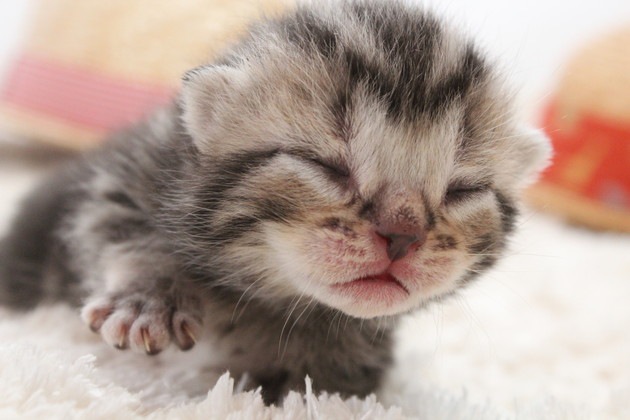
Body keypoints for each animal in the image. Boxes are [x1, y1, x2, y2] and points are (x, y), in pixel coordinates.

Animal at [0, 0, 552, 406]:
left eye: (463, 190)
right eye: (327, 166)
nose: (402, 236)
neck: (274, 299)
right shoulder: (131, 172)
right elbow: (121, 226)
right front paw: (148, 300)